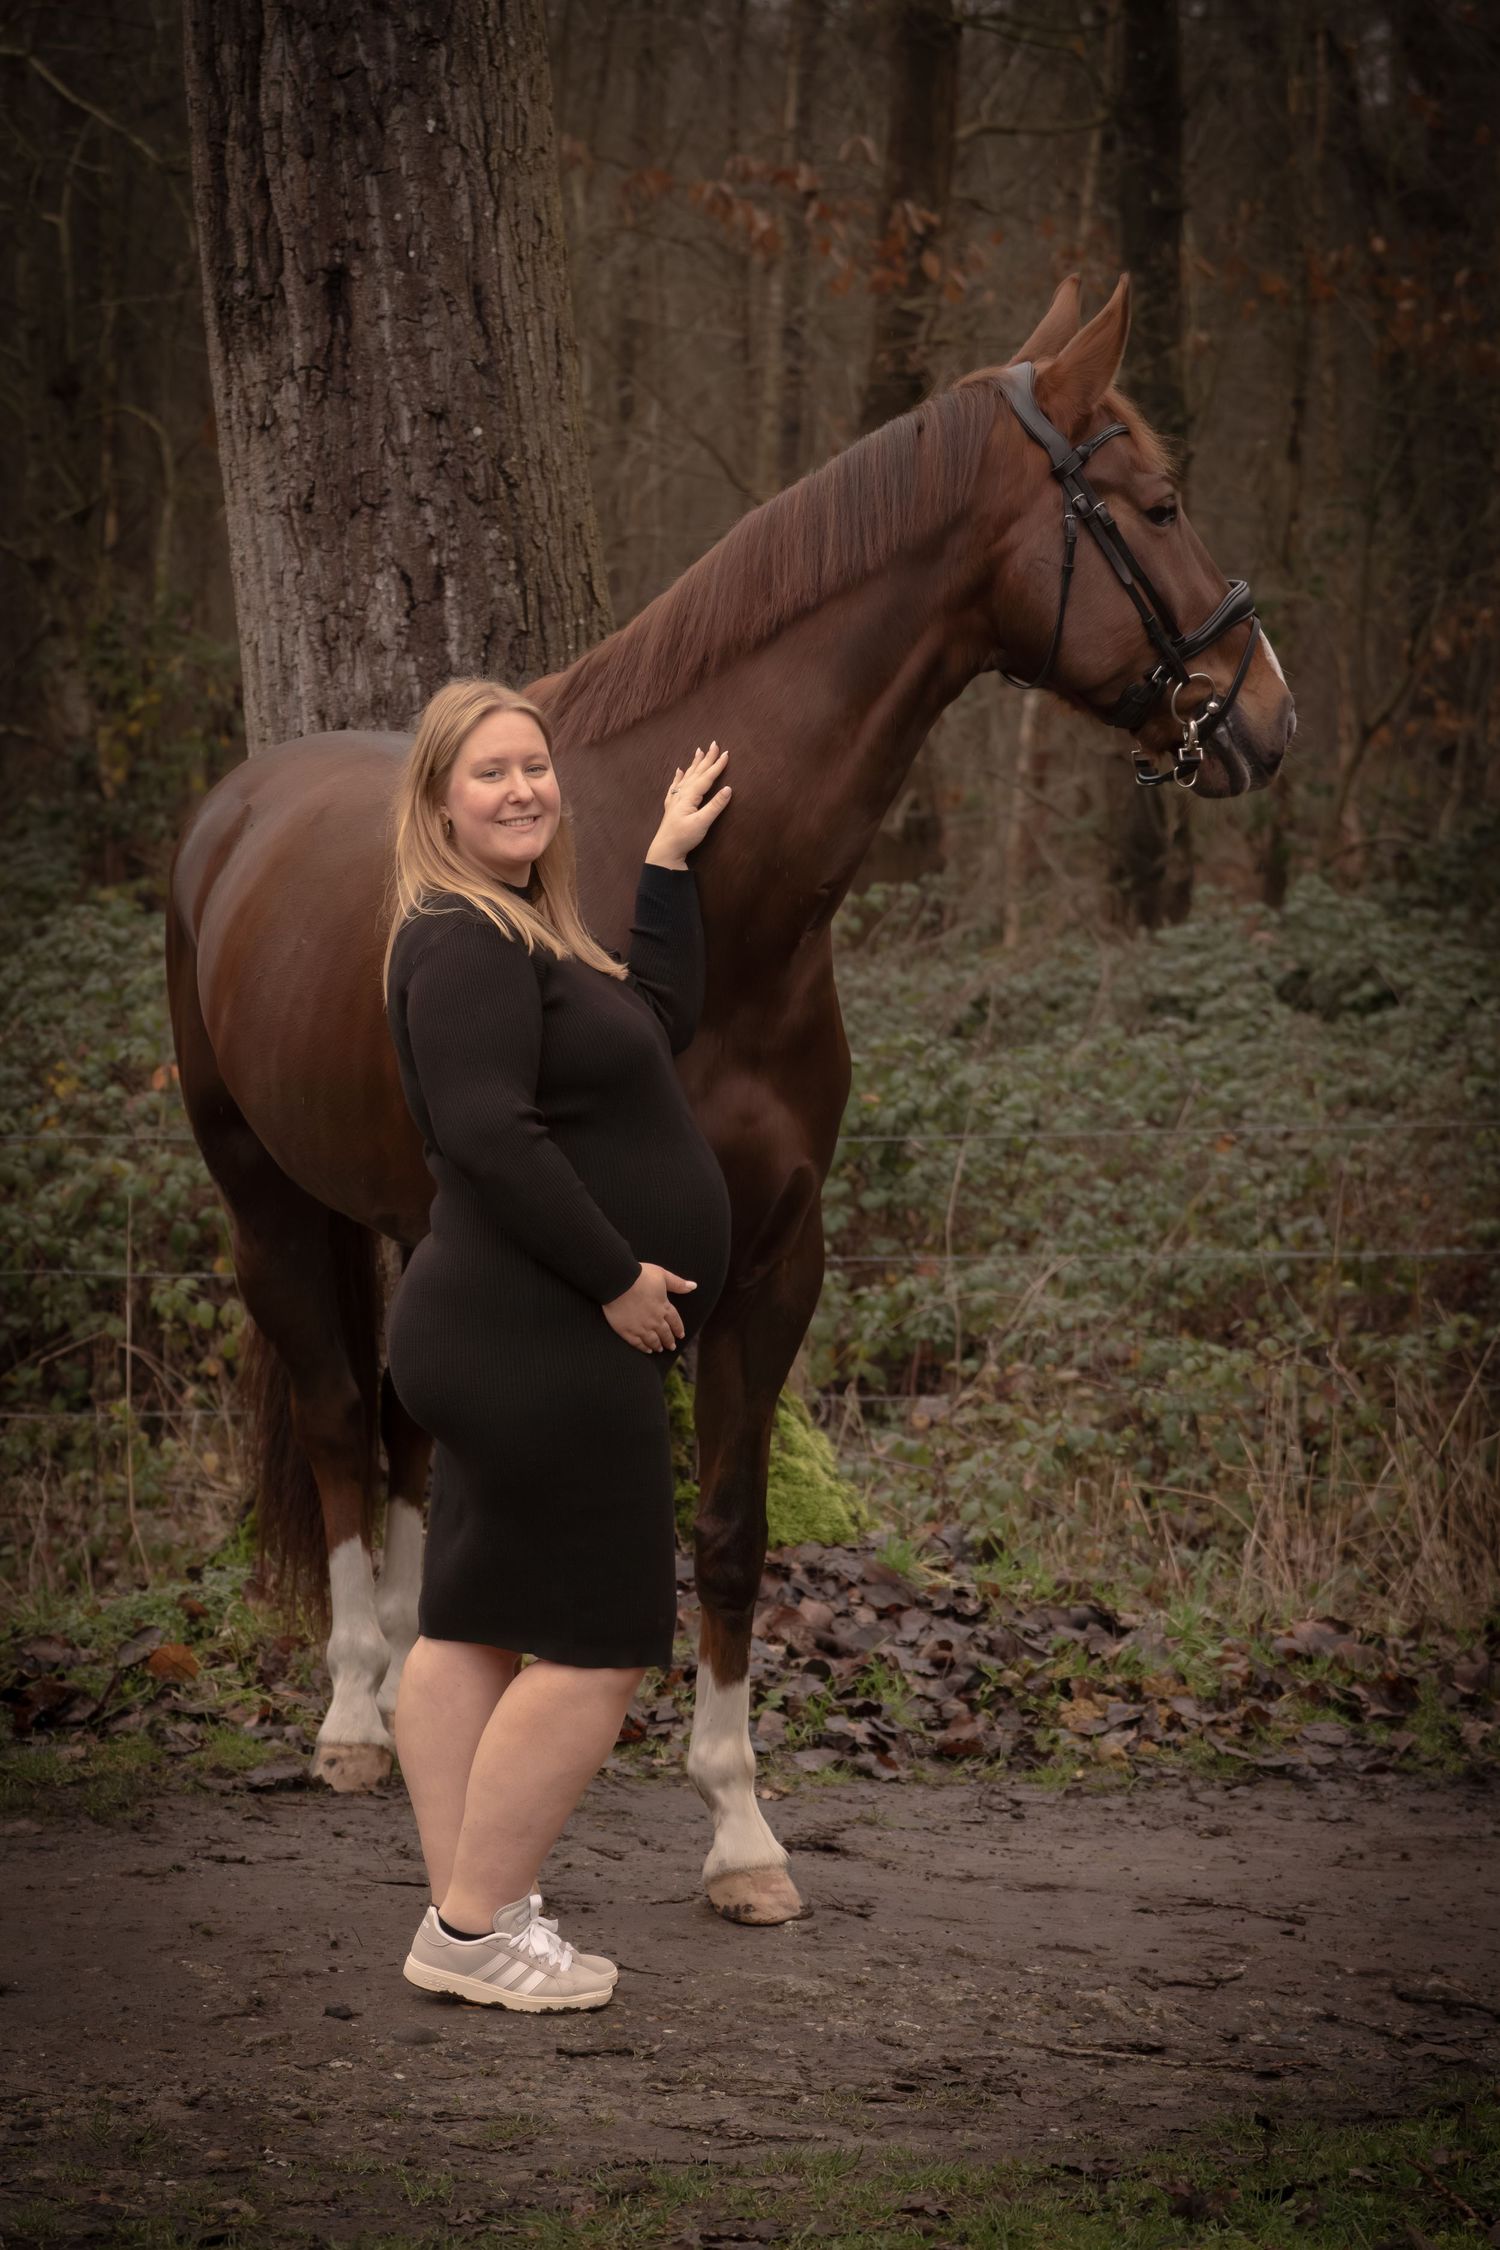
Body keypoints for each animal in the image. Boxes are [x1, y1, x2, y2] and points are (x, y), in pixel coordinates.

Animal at [166, 274, 1294, 1925]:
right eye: (1158, 504)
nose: (1267, 717)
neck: (711, 899)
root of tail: (236, 812)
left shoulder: (776, 1264)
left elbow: (736, 1532)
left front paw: (744, 1832)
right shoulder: (614, 1266)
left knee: (410, 1435)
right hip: (266, 1198)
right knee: (331, 1424)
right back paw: (358, 1716)